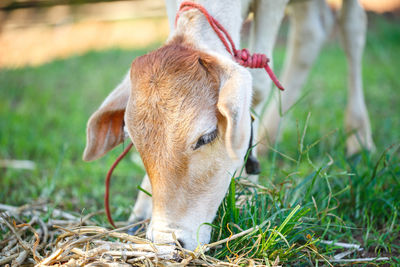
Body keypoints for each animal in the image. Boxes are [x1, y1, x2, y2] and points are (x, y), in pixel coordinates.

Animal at [83, 0, 374, 251]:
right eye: (133, 140)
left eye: (208, 135)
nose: (168, 241)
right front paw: (142, 208)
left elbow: (259, 86)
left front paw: (247, 186)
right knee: (312, 31)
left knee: (352, 25)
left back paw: (359, 137)